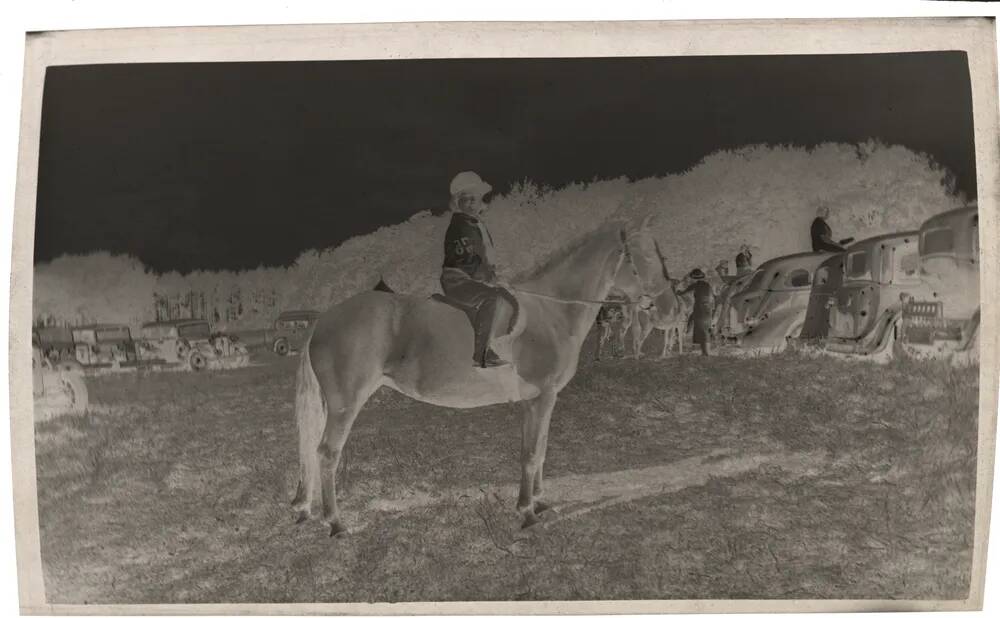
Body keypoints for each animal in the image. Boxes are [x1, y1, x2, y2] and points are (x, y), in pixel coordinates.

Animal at [292, 223, 644, 536]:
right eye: (635, 259)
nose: (648, 299)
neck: (550, 312)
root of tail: (323, 319)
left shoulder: (540, 401)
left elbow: (539, 448)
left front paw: (538, 503)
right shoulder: (541, 397)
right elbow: (531, 454)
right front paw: (527, 513)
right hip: (344, 406)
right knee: (326, 453)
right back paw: (335, 523)